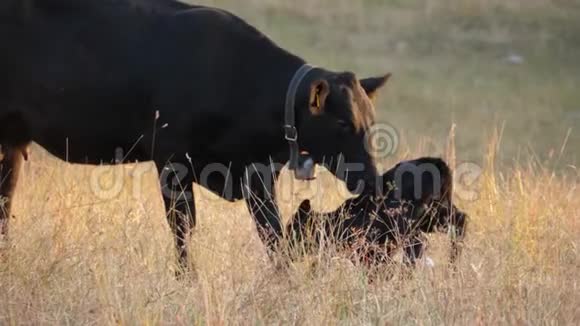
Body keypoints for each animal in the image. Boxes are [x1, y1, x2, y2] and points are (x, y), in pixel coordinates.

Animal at [1, 0, 390, 268]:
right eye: (343, 124)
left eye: (371, 121)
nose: (372, 178)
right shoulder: (171, 159)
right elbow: (183, 228)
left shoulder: (256, 173)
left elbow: (272, 232)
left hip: (11, 142)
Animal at [288, 158, 468, 268]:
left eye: (293, 228)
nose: (284, 243)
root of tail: (437, 163)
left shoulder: (370, 248)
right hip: (435, 215)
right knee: (460, 220)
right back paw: (453, 264)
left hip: (412, 222)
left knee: (417, 244)